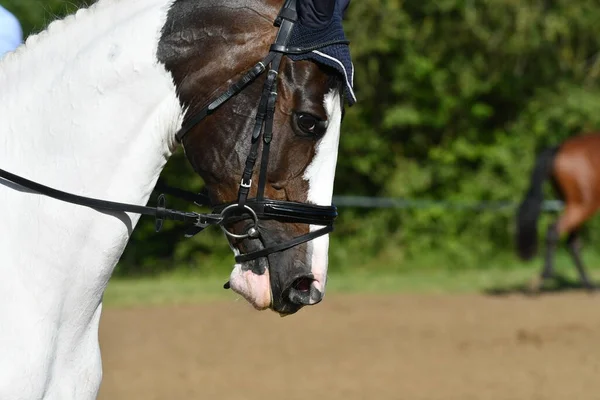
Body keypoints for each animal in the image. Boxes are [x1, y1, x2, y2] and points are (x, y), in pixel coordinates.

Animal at [512, 131, 600, 290]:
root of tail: (559, 148)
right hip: (583, 205)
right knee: (554, 231)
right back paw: (546, 275)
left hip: (575, 206)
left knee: (572, 243)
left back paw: (588, 284)